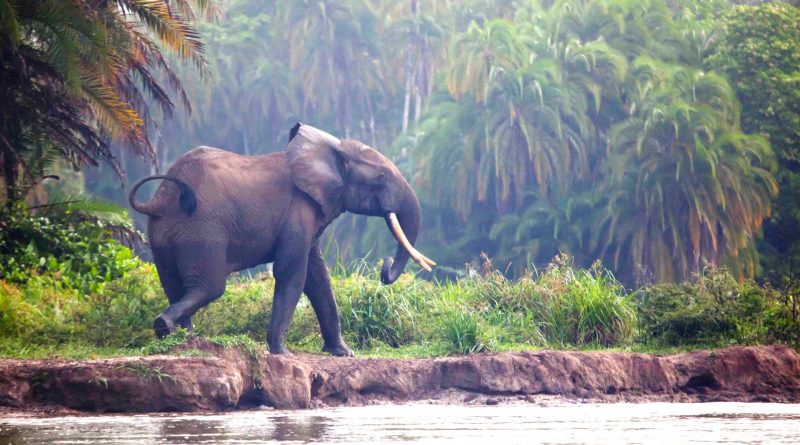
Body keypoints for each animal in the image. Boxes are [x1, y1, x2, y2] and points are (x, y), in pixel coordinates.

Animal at [128, 123, 434, 356]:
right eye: (380, 177)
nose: (385, 264)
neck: (332, 150)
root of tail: (159, 201)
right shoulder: (299, 211)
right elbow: (293, 273)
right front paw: (282, 353)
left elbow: (317, 277)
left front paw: (343, 353)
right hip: (202, 232)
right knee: (210, 287)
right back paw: (167, 328)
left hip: (164, 235)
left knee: (173, 284)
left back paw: (183, 340)